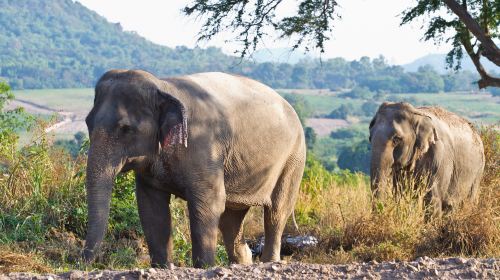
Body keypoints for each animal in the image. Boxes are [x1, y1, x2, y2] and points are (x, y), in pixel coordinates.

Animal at [82, 69, 304, 268]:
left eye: (126, 129)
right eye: (87, 122)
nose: (83, 263)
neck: (163, 86)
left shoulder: (204, 147)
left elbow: (208, 202)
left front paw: (204, 267)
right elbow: (150, 206)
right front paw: (162, 267)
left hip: (293, 159)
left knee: (276, 212)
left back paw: (270, 262)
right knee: (230, 219)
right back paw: (242, 263)